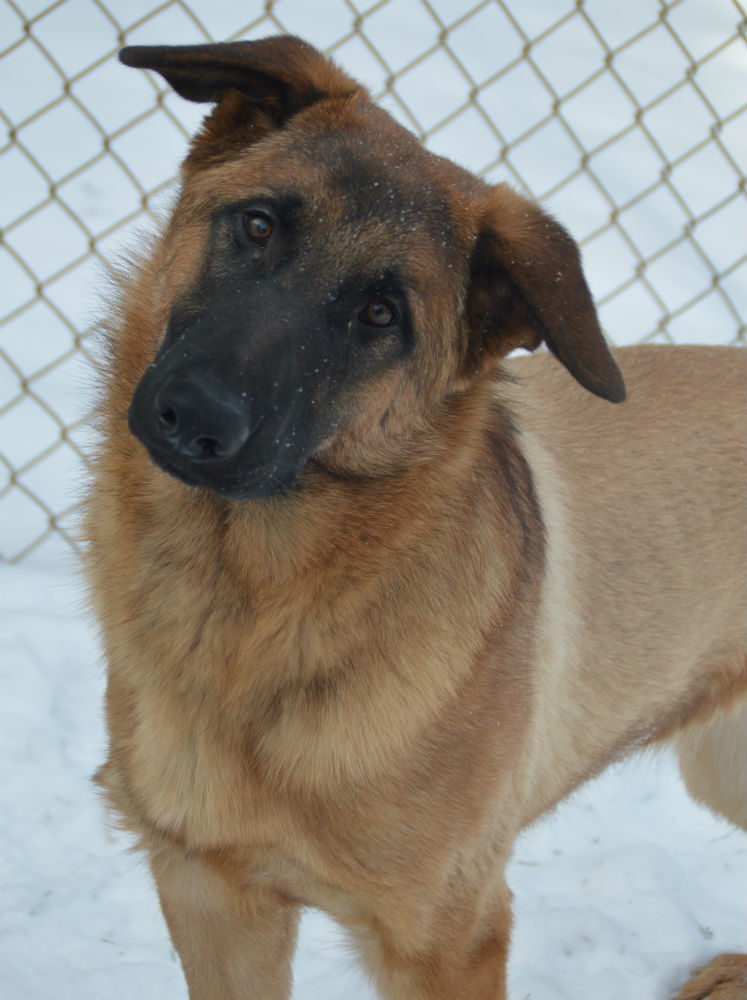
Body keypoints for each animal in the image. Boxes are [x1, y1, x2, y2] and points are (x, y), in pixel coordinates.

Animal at [84, 35, 744, 996]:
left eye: (379, 315)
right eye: (258, 226)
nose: (194, 418)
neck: (246, 610)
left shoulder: (447, 938)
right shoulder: (212, 894)